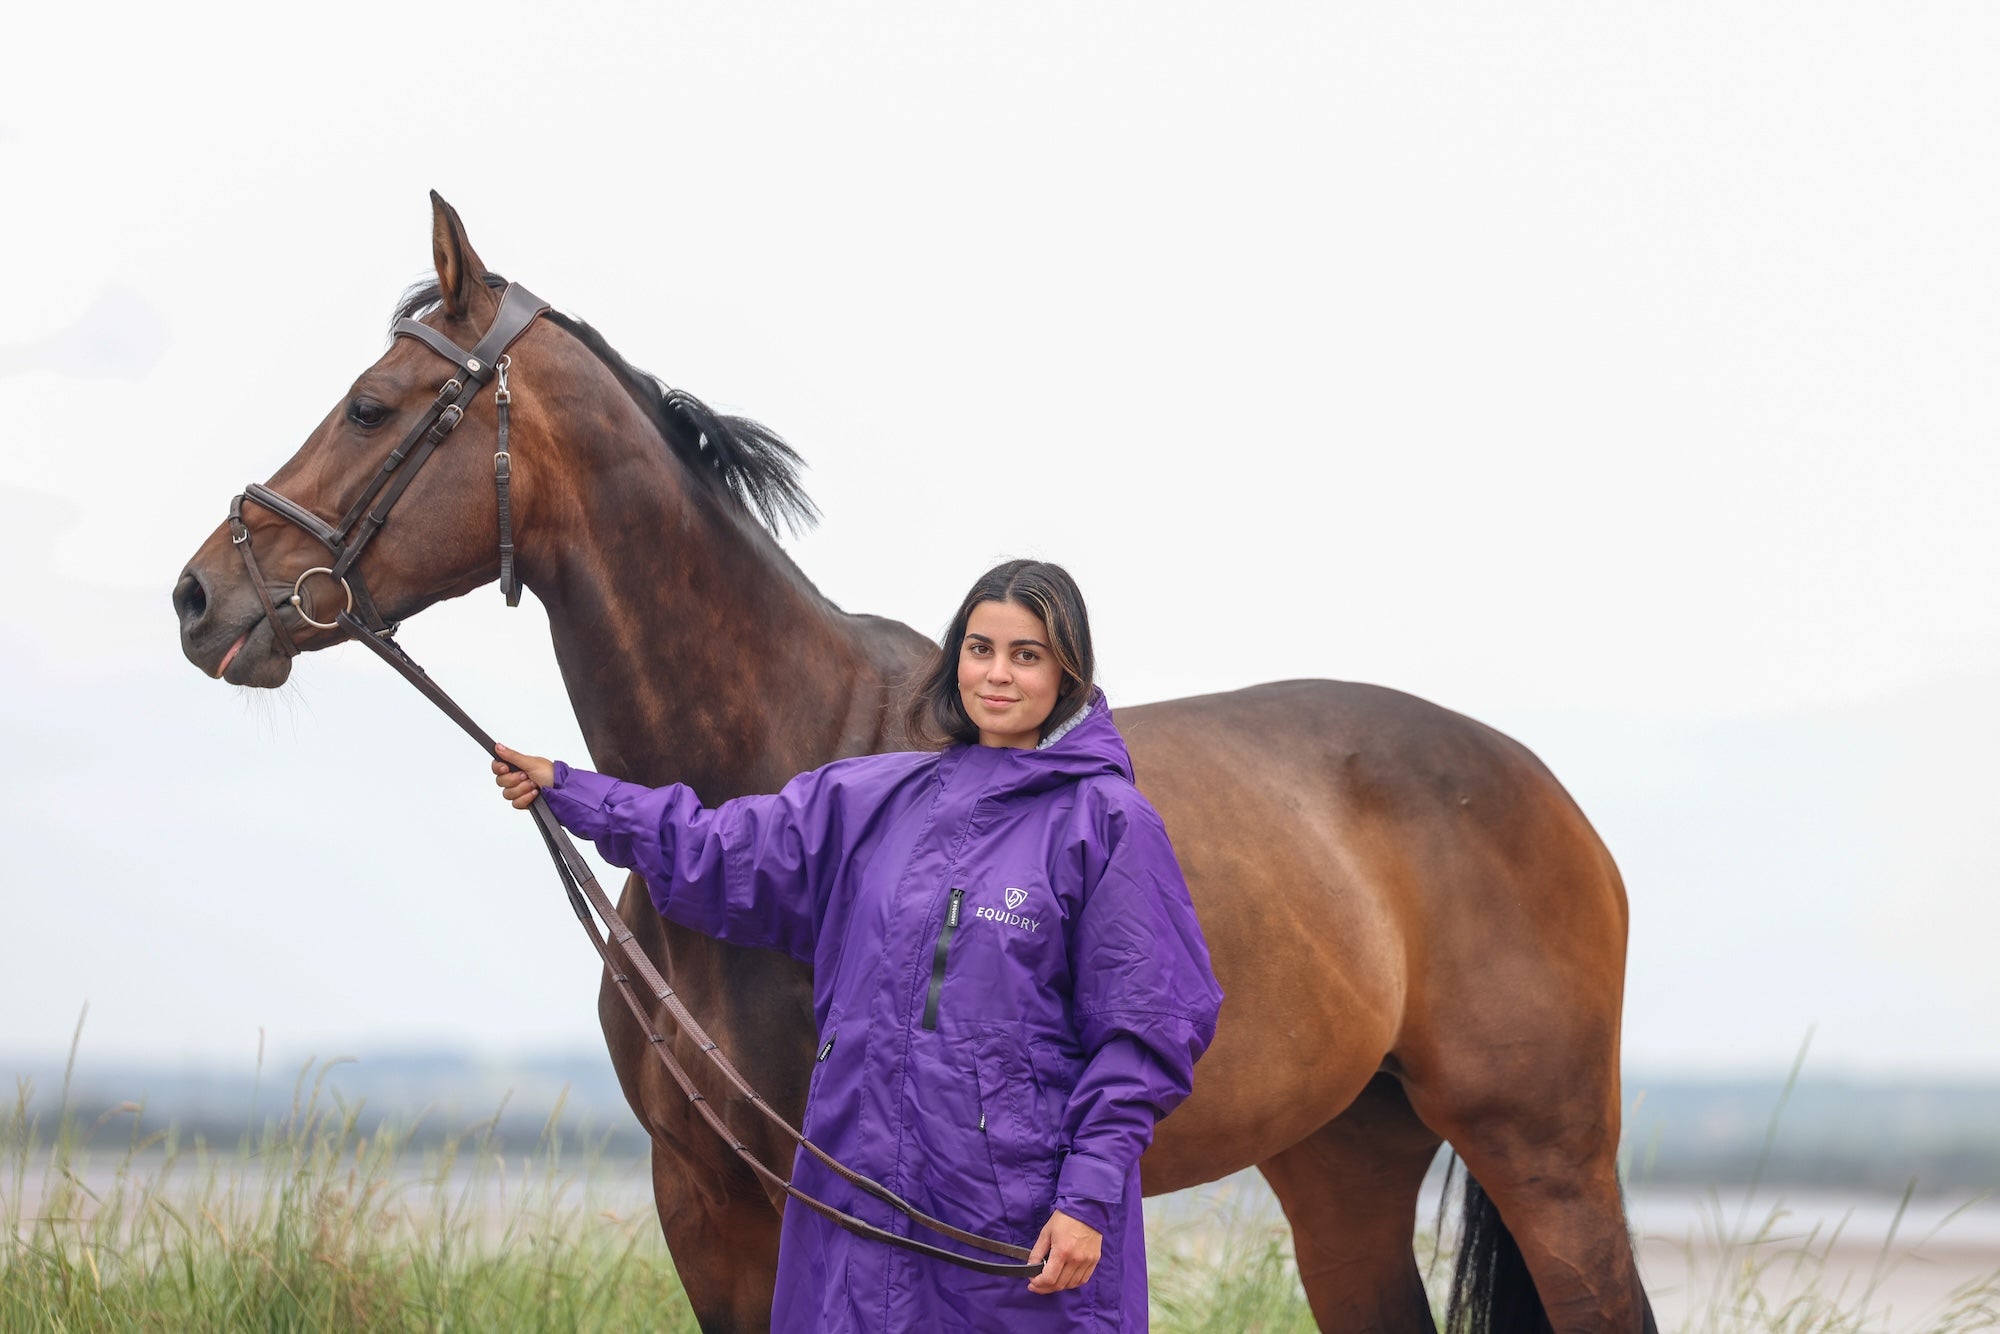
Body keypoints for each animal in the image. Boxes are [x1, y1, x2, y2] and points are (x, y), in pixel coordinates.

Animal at [176, 196, 1656, 1334]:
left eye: (373, 406)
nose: (202, 596)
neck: (770, 763)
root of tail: (1543, 792)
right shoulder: (703, 1200)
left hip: (1546, 1153)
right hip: (1342, 1157)